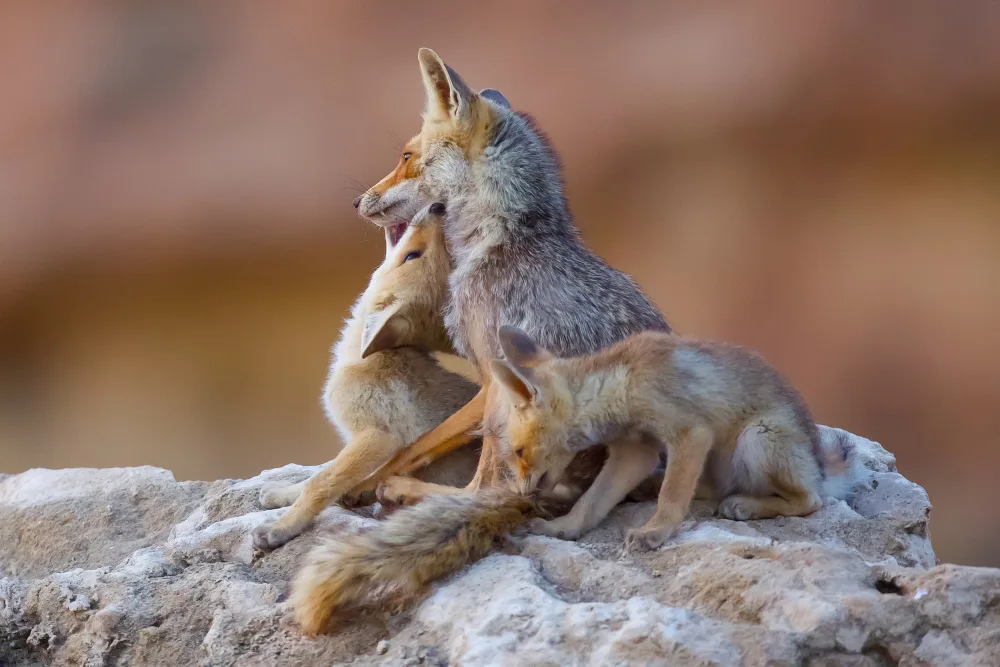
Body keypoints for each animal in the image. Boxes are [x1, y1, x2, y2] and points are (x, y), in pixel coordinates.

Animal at [251, 203, 482, 551]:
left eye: (412, 256)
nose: (438, 207)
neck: (362, 358)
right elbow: (319, 476)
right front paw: (281, 494)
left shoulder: (377, 437)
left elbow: (321, 482)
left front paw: (282, 527)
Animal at [350, 47, 670, 502]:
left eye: (406, 157)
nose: (357, 201)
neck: (505, 237)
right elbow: (425, 445)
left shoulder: (491, 372)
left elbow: (434, 453)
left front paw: (365, 485)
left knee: (489, 488)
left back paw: (406, 491)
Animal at [489, 325, 866, 551]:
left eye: (518, 452)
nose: (520, 493)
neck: (621, 383)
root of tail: (820, 469)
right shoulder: (635, 452)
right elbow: (590, 503)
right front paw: (563, 528)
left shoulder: (690, 433)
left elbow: (671, 498)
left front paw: (655, 532)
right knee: (712, 489)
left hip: (757, 438)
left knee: (811, 501)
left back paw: (748, 504)